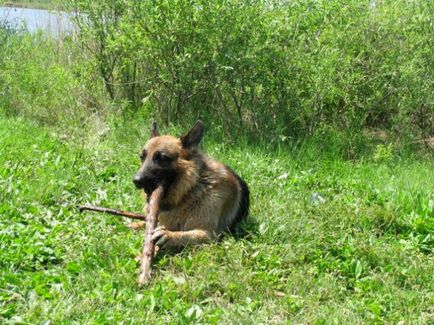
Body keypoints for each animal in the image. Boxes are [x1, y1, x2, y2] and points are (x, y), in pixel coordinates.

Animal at [131, 120, 249, 249]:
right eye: (142, 157)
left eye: (162, 158)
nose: (136, 181)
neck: (192, 188)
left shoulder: (209, 235)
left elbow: (185, 235)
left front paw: (169, 235)